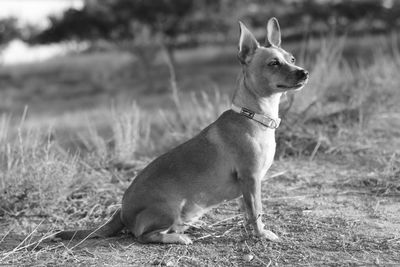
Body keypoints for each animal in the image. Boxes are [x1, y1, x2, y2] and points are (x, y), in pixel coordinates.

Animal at [54, 17, 308, 246]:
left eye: (292, 59)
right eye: (273, 63)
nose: (303, 72)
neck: (253, 116)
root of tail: (122, 211)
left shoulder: (248, 186)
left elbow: (248, 212)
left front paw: (251, 231)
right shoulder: (251, 178)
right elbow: (257, 211)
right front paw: (262, 234)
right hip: (173, 207)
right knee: (143, 235)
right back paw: (177, 237)